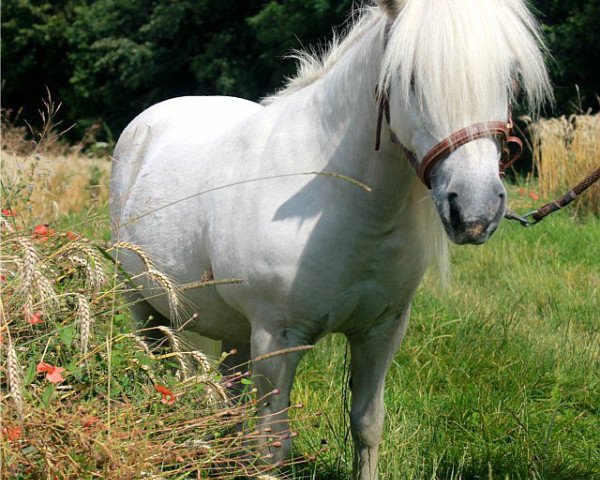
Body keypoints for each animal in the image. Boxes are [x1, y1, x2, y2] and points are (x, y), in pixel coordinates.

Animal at [110, 1, 552, 478]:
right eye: (410, 77)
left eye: (507, 76)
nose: (475, 210)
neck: (342, 198)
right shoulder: (277, 338)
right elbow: (272, 445)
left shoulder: (381, 331)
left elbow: (367, 426)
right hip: (143, 308)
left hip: (233, 330)